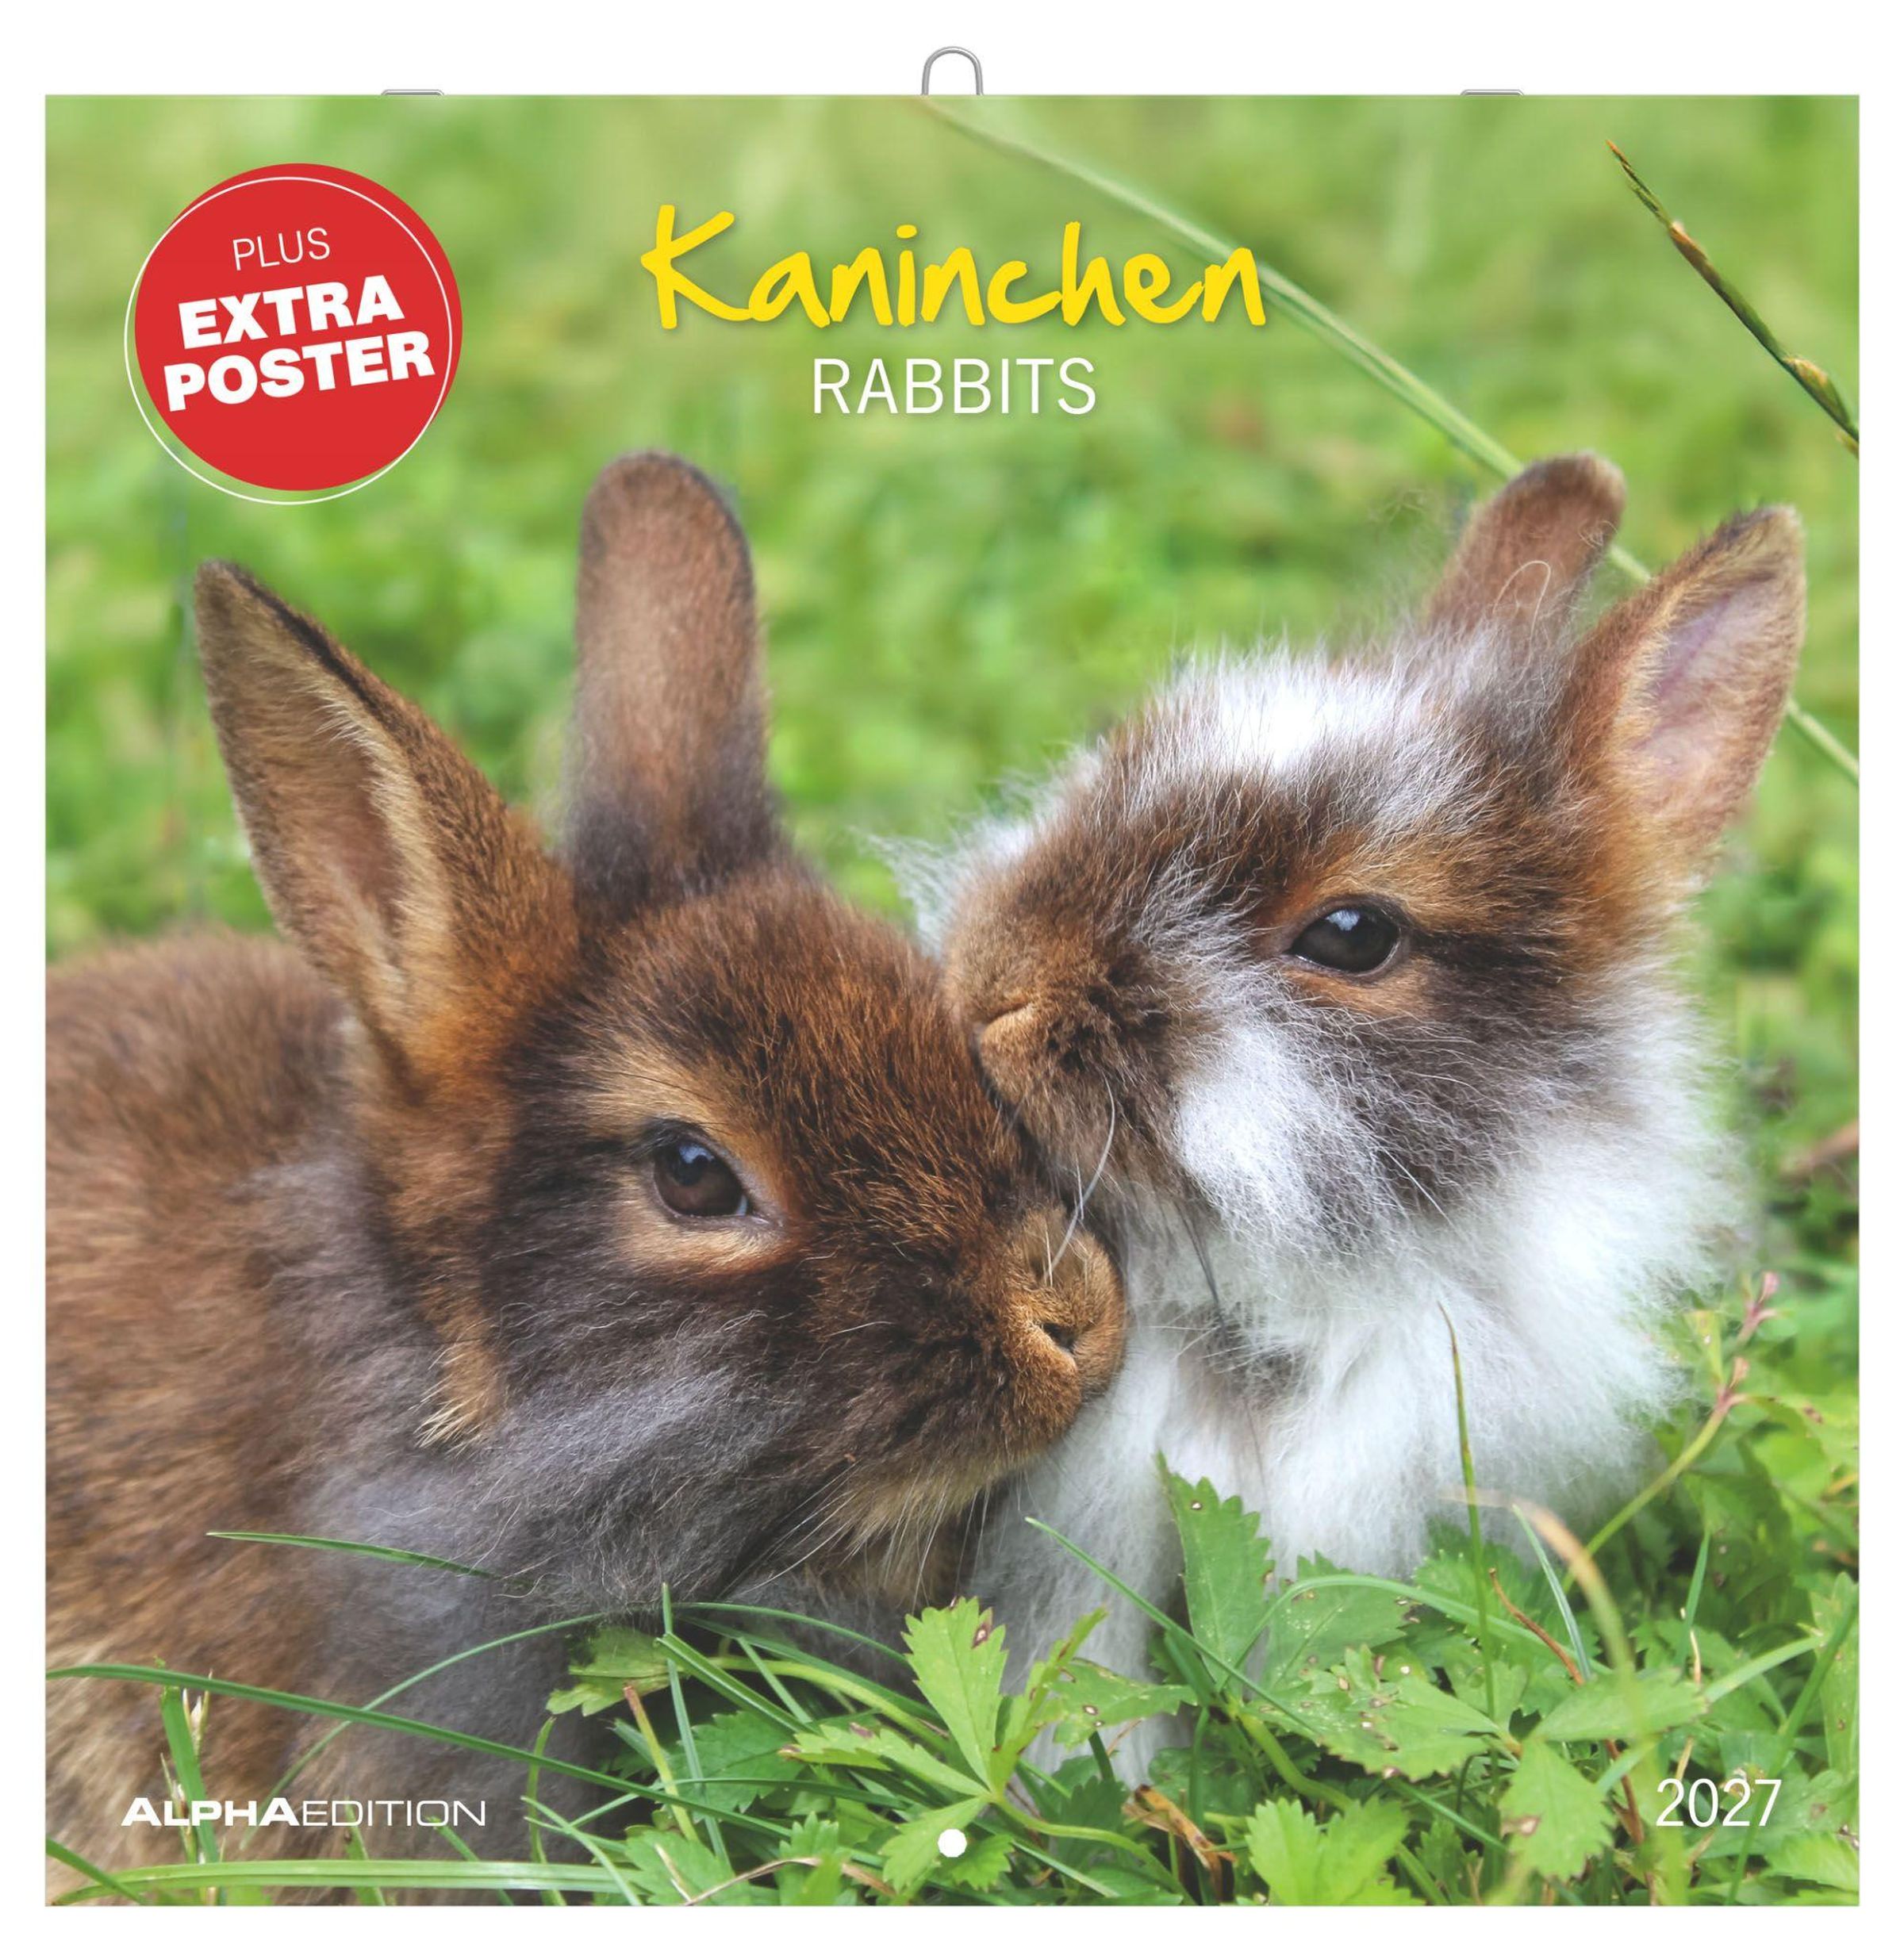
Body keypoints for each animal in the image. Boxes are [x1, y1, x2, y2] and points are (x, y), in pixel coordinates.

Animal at [903, 455, 1805, 1773]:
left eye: (1353, 934)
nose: (991, 990)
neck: (1285, 1308)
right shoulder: (1083, 1537)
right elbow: (1084, 1674)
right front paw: (1084, 1778)